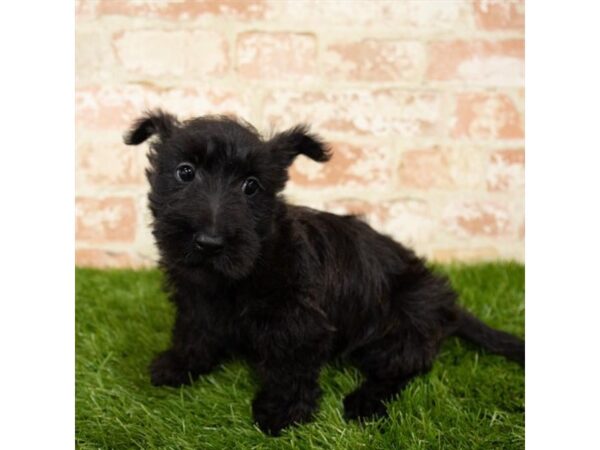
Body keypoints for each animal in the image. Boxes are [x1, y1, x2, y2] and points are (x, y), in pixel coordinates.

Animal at [124, 110, 524, 436]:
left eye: (251, 185)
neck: (240, 272)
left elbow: (289, 367)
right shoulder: (197, 300)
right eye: (185, 172)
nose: (209, 242)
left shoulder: (297, 322)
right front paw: (179, 365)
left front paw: (282, 413)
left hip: (403, 320)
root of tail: (448, 307)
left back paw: (364, 403)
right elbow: (194, 332)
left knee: (402, 367)